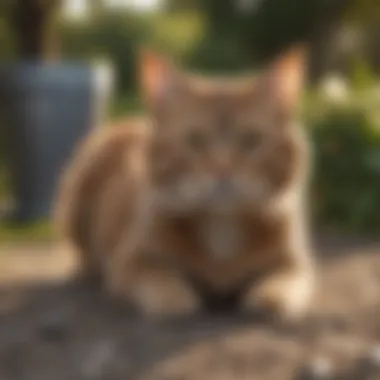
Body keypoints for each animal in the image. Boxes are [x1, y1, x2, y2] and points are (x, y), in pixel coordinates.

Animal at [54, 46, 314, 320]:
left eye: (250, 140)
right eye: (195, 140)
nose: (223, 170)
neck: (221, 226)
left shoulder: (295, 264)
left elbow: (282, 281)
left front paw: (270, 297)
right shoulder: (129, 263)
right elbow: (161, 280)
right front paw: (176, 297)